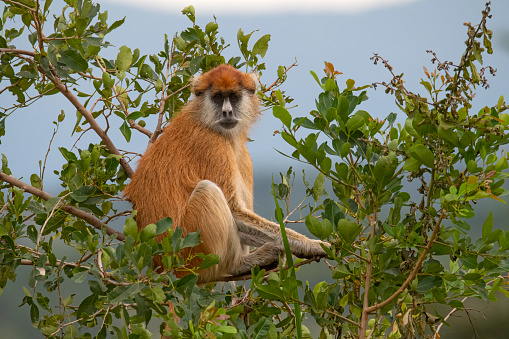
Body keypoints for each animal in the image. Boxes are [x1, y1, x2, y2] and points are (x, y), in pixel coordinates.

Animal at [123, 64, 326, 284]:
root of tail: (162, 267)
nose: (227, 111)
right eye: (218, 97)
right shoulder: (212, 145)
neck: (205, 119)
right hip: (191, 256)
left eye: (234, 96)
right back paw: (237, 264)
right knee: (207, 191)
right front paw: (313, 245)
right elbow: (235, 211)